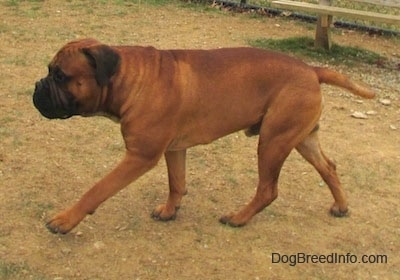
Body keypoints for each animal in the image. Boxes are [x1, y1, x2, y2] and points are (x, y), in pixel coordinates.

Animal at [32, 37, 376, 234]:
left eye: (60, 76)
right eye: (50, 71)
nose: (36, 87)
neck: (132, 79)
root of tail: (311, 70)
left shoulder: (139, 157)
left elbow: (97, 190)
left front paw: (65, 220)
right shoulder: (173, 150)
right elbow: (177, 183)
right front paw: (170, 211)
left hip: (273, 142)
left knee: (268, 190)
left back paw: (238, 218)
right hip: (301, 138)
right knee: (329, 168)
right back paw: (341, 206)